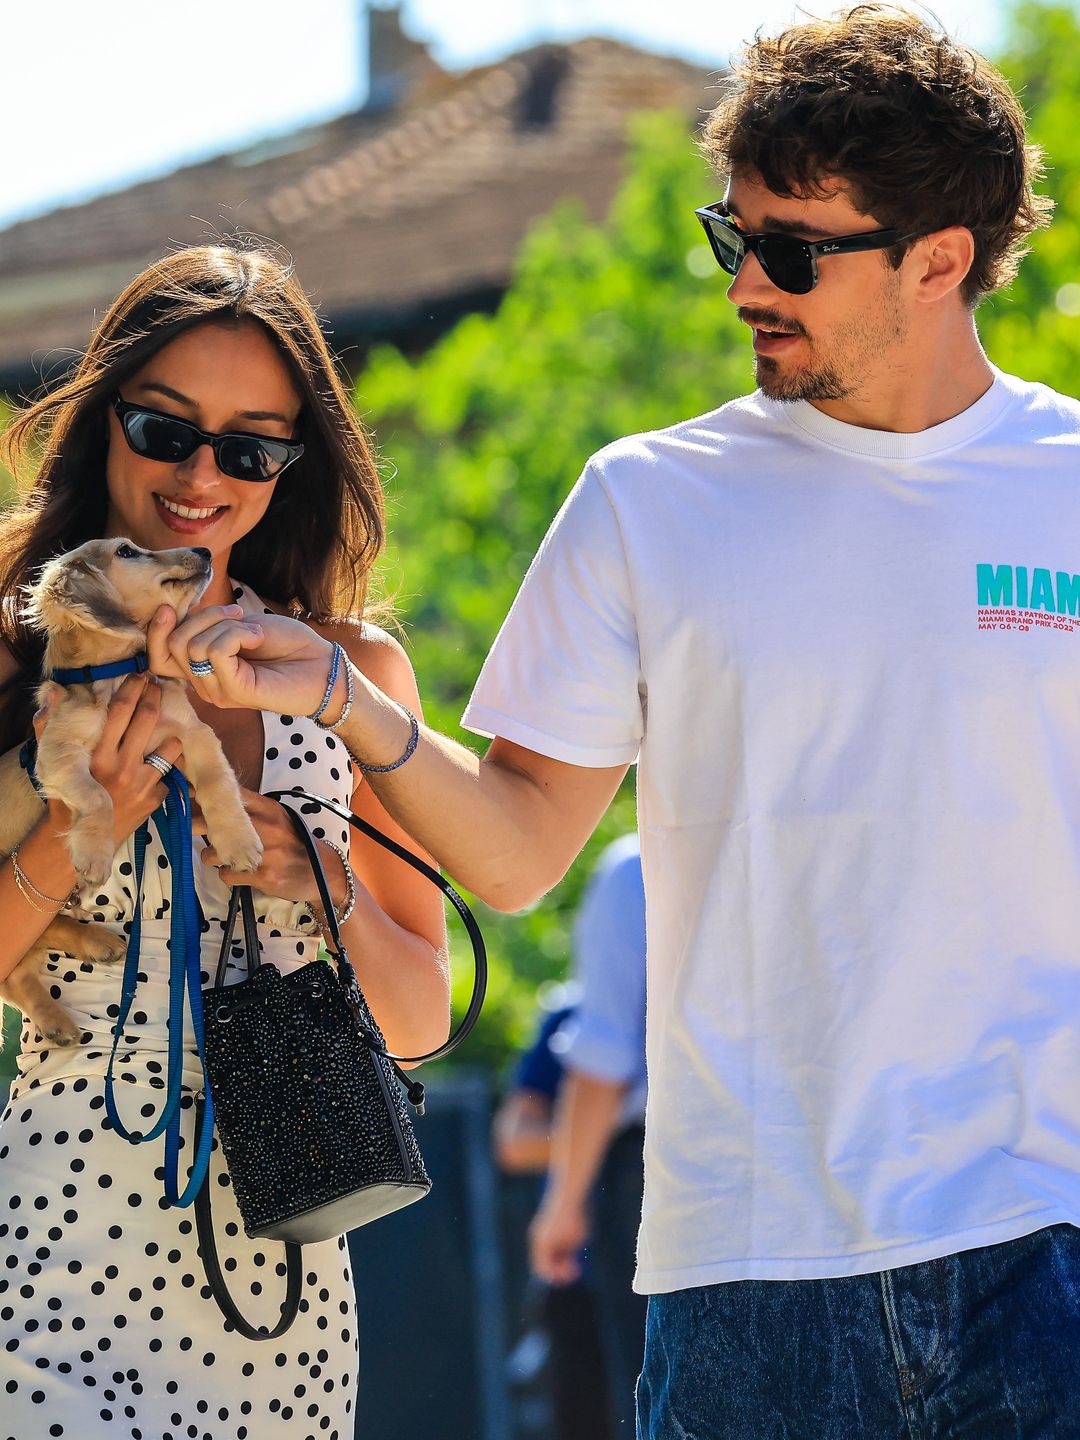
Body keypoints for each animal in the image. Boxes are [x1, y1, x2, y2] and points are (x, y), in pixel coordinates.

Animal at [0, 535, 264, 1042]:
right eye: (126, 551)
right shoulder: (58, 754)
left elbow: (220, 785)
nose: (205, 551)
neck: (117, 677)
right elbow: (99, 796)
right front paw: (94, 854)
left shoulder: (193, 737)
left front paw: (239, 841)